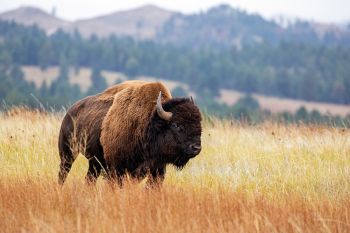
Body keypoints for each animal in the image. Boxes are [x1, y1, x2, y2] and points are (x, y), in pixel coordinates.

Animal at [58, 81, 202, 187]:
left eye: (199, 124)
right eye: (176, 125)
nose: (196, 148)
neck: (149, 122)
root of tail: (70, 112)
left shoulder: (157, 169)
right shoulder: (117, 169)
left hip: (94, 162)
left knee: (89, 179)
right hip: (67, 153)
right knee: (63, 173)